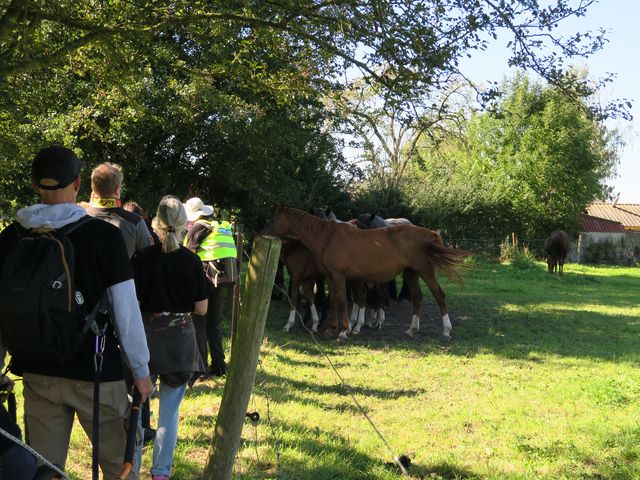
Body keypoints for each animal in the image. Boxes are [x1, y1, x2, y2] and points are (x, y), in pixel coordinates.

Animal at [264, 206, 470, 342]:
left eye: (274, 219)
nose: (262, 232)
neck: (329, 237)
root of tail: (429, 234)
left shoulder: (339, 276)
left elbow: (341, 302)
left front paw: (343, 331)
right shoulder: (330, 277)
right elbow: (333, 302)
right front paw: (331, 329)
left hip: (425, 271)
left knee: (439, 295)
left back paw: (446, 331)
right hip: (411, 273)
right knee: (417, 298)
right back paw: (411, 330)